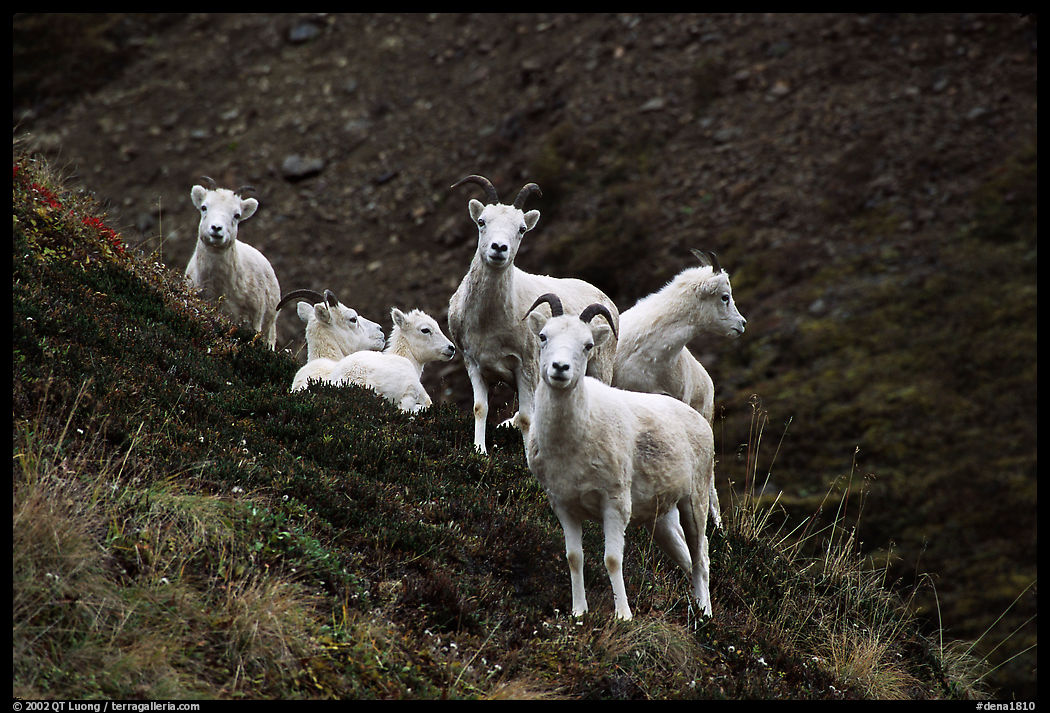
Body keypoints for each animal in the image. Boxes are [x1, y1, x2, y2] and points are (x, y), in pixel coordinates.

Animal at [447, 174, 620, 454]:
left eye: (521, 229)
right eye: (482, 221)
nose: (499, 248)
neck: (489, 322)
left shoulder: (526, 368)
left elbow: (528, 419)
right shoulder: (474, 364)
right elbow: (480, 408)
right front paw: (480, 451)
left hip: (599, 370)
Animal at [523, 293, 716, 620]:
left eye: (588, 345)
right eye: (544, 336)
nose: (560, 368)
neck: (570, 443)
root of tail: (699, 421)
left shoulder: (614, 504)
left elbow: (612, 560)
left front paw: (623, 616)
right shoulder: (564, 506)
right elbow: (574, 557)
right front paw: (578, 612)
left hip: (695, 503)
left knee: (701, 559)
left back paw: (706, 618)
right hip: (661, 520)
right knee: (688, 560)